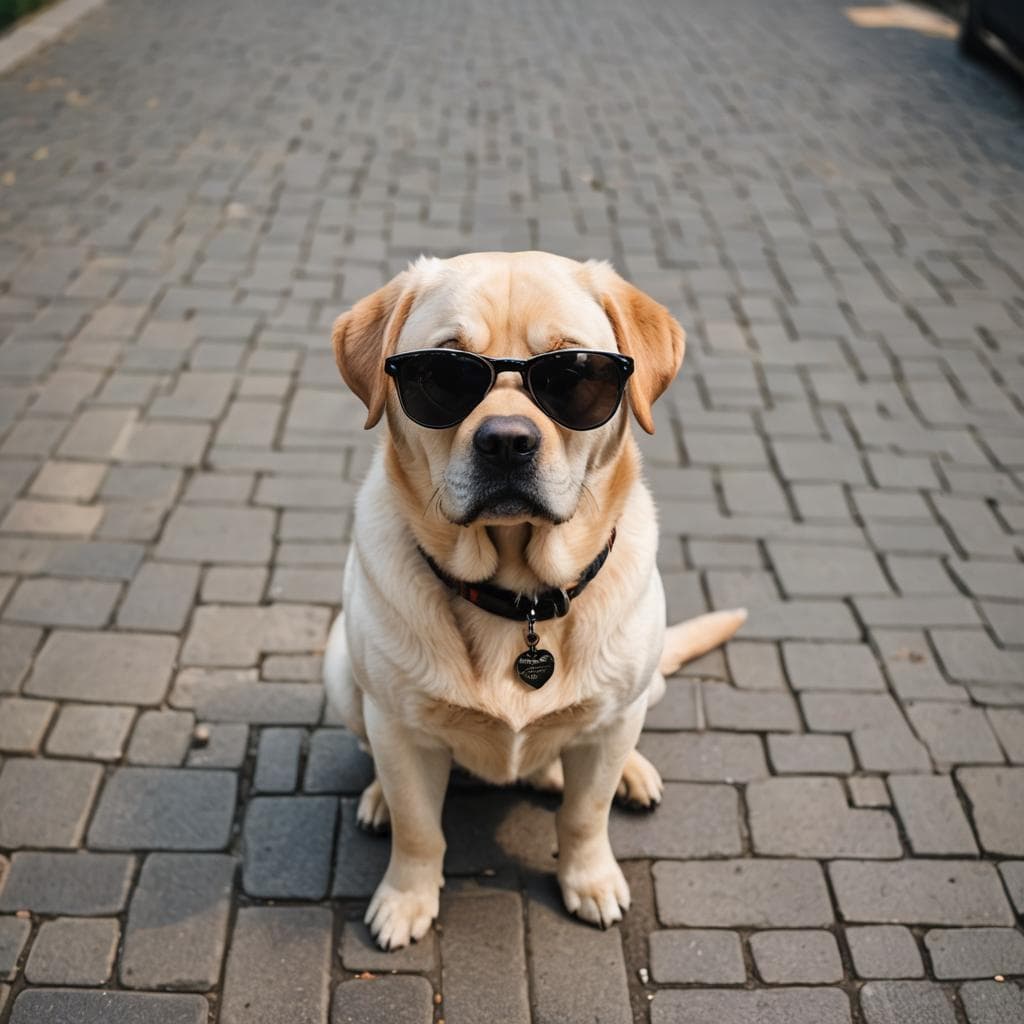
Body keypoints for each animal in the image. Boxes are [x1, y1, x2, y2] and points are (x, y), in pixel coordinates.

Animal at [323, 251, 749, 946]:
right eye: (441, 372)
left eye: (573, 371)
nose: (505, 440)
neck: (519, 597)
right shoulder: (398, 727)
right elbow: (420, 828)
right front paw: (407, 897)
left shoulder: (607, 733)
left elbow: (584, 815)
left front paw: (590, 879)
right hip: (341, 670)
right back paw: (379, 798)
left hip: (640, 687)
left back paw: (629, 773)